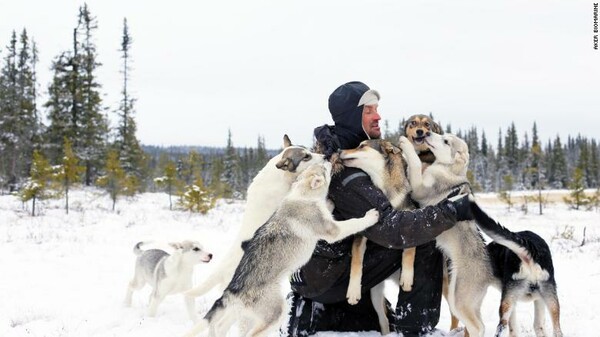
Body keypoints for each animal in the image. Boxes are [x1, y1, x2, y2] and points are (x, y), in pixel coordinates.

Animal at [183, 162, 380, 336]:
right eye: (324, 169)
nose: (329, 159)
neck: (303, 196)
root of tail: (233, 289)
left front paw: (329, 202)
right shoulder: (333, 231)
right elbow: (354, 223)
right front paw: (371, 216)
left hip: (237, 312)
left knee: (220, 326)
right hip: (273, 313)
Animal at [340, 138, 414, 334]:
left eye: (362, 146)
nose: (339, 150)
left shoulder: (410, 218)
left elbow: (409, 250)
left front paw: (407, 277)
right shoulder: (361, 234)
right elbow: (356, 262)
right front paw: (353, 292)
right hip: (375, 295)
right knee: (384, 320)